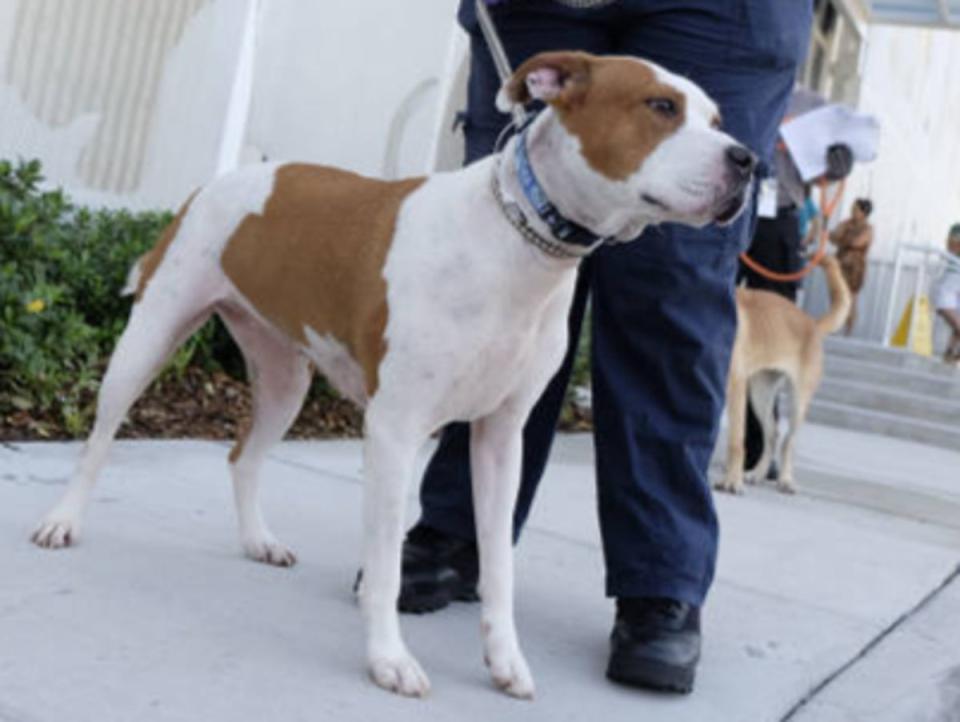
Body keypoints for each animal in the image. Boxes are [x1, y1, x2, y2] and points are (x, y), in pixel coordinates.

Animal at [30, 52, 752, 696]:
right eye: (660, 106)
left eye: (718, 118)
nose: (748, 160)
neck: (521, 243)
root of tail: (235, 176)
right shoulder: (395, 431)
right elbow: (382, 568)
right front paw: (388, 660)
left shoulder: (501, 440)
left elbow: (499, 565)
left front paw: (505, 660)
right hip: (149, 337)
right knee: (100, 439)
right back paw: (62, 521)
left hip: (285, 380)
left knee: (242, 456)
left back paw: (258, 539)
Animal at [716, 256, 852, 498]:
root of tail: (812, 324)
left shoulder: (735, 385)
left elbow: (736, 441)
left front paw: (732, 481)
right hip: (760, 395)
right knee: (773, 434)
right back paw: (757, 473)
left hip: (798, 401)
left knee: (789, 441)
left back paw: (785, 480)